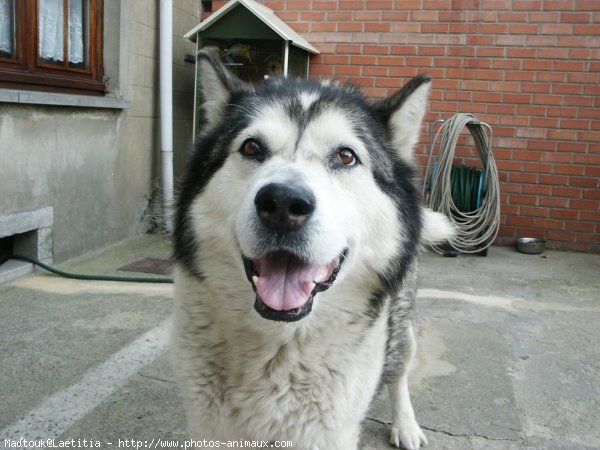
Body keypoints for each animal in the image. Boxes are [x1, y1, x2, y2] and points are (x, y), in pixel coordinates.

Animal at [171, 51, 452, 448]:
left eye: (346, 156)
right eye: (252, 147)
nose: (283, 203)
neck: (278, 347)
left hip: (402, 321)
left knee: (399, 370)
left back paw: (406, 425)